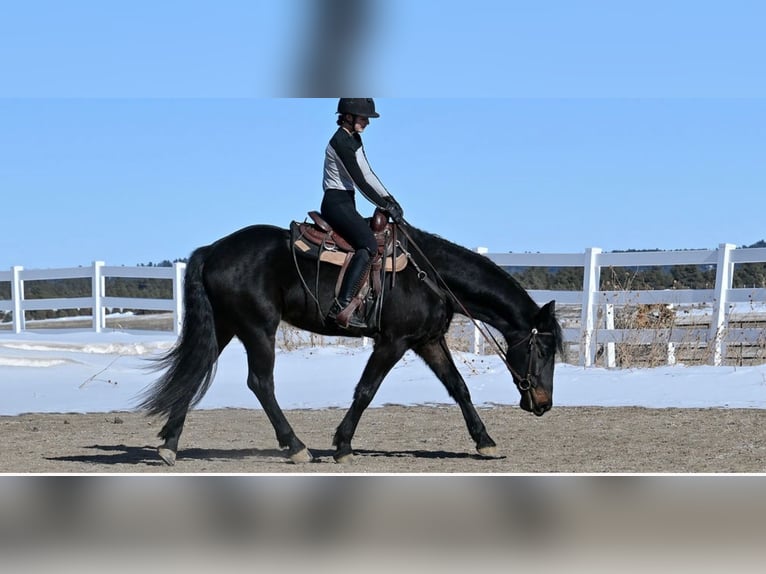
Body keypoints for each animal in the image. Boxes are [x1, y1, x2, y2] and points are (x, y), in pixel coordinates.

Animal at [138, 221, 564, 465]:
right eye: (543, 349)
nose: (544, 404)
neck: (431, 276)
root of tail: (212, 251)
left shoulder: (428, 341)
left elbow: (459, 388)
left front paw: (485, 442)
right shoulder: (393, 342)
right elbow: (366, 390)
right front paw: (342, 445)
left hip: (225, 327)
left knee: (194, 373)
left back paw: (170, 445)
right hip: (258, 329)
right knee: (260, 383)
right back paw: (297, 447)